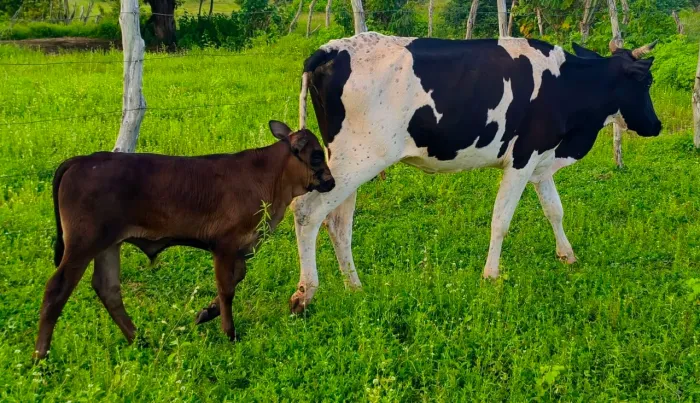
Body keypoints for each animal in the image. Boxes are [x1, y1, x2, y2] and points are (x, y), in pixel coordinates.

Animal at [33, 121, 335, 360]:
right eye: (317, 156)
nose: (331, 182)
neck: (269, 179)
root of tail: (82, 160)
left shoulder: (240, 248)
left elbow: (237, 277)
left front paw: (206, 313)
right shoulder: (224, 245)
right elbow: (227, 288)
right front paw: (229, 333)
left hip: (108, 244)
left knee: (107, 288)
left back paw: (139, 340)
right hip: (83, 243)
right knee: (57, 289)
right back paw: (41, 358)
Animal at [287, 33, 661, 313]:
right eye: (646, 81)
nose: (656, 126)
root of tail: (328, 49)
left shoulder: (541, 160)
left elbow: (555, 210)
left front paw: (567, 256)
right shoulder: (522, 159)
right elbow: (501, 220)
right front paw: (491, 276)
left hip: (349, 162)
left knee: (338, 223)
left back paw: (354, 286)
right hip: (357, 160)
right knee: (307, 211)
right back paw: (305, 294)